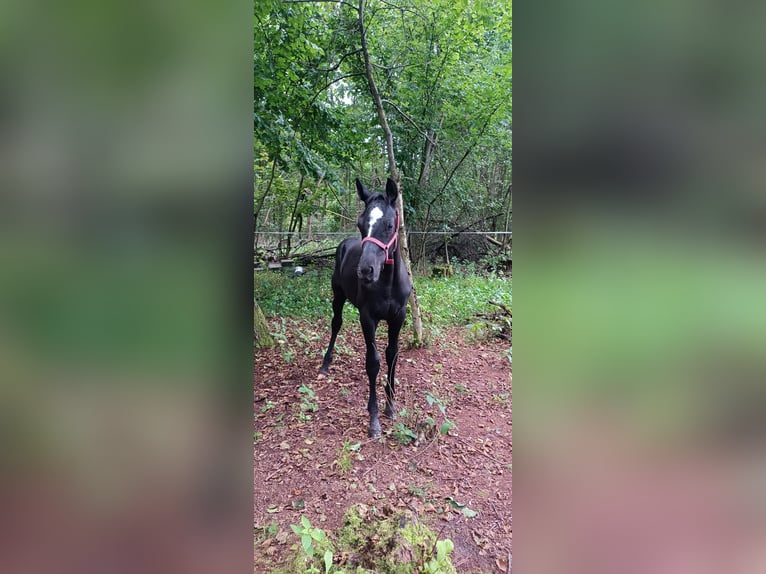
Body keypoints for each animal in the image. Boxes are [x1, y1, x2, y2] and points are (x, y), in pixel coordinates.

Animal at [320, 178, 414, 438]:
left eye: (390, 224)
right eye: (360, 224)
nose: (365, 270)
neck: (388, 283)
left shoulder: (398, 317)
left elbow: (392, 355)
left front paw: (391, 407)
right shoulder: (368, 317)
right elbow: (373, 363)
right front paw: (374, 419)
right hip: (338, 296)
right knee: (336, 324)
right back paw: (325, 364)